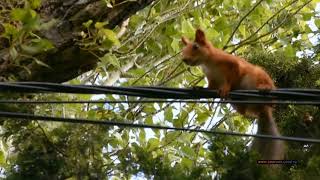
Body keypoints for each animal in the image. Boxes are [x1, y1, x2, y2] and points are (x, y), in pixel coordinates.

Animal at [181, 29, 284, 160]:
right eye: (183, 49)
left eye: (195, 47)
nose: (184, 59)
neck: (208, 62)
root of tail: (263, 108)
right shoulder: (212, 78)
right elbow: (210, 87)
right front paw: (199, 88)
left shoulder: (233, 64)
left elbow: (231, 78)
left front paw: (226, 88)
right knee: (242, 111)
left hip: (258, 76)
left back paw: (265, 88)